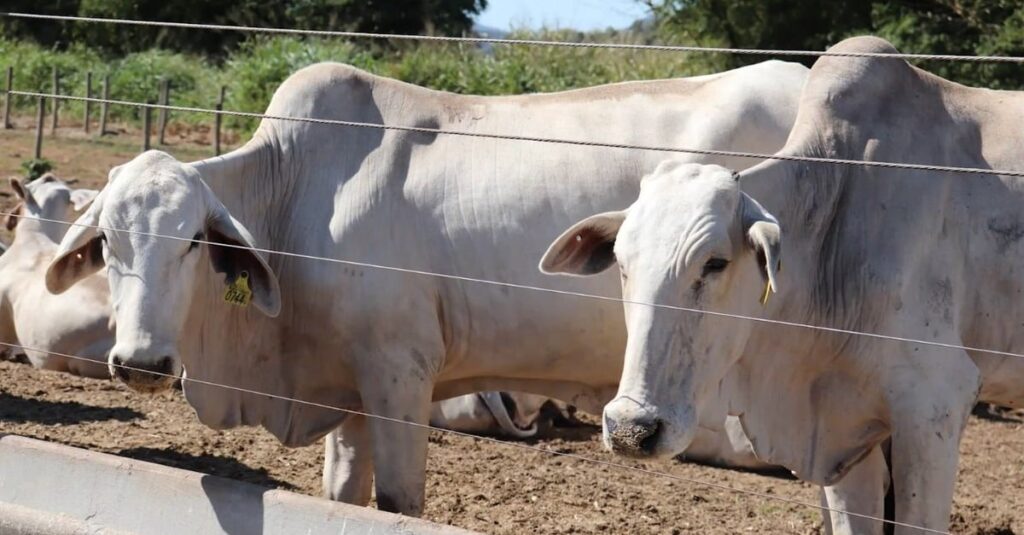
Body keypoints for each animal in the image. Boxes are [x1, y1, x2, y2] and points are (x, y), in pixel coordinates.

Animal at [44, 59, 802, 512]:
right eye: (107, 241)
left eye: (194, 241)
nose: (142, 362)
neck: (299, 191)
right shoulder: (349, 389)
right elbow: (342, 496)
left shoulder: (399, 373)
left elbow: (399, 504)